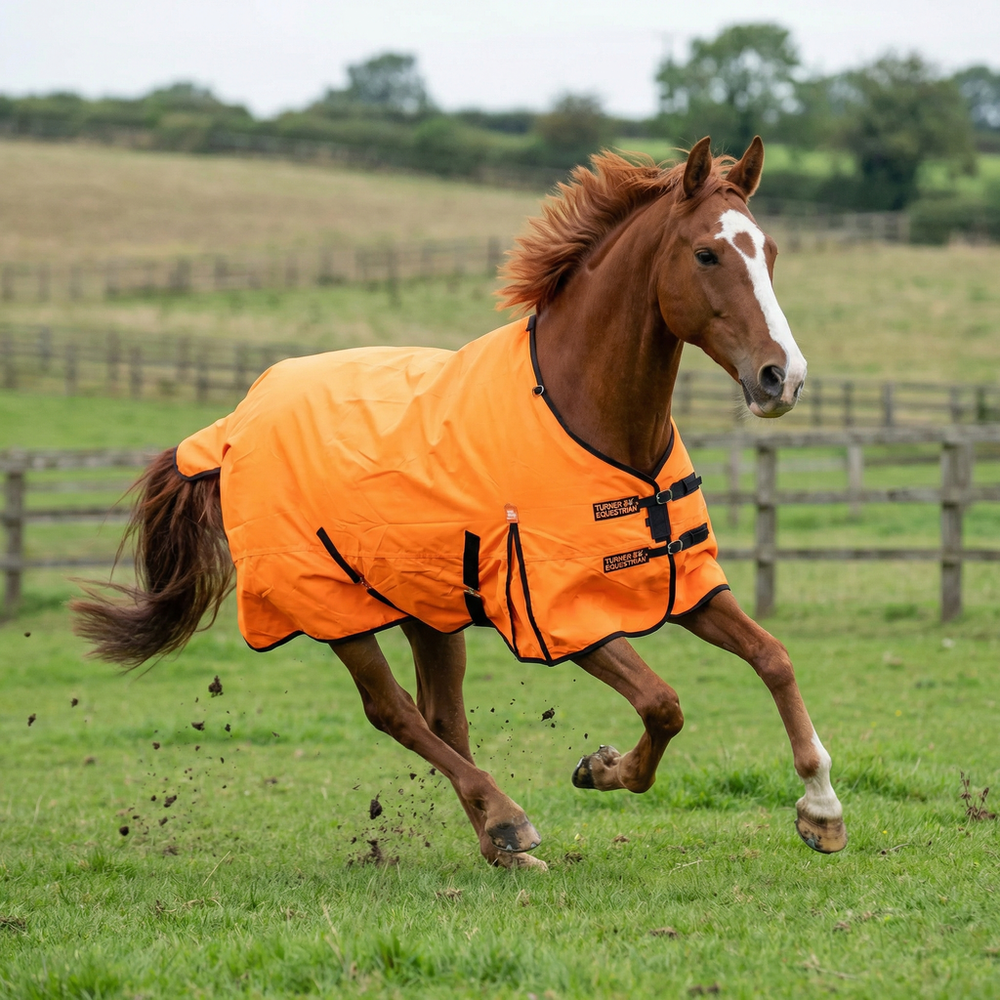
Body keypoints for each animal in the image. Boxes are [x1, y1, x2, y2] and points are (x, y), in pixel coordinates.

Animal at [73, 136, 847, 870]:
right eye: (707, 253)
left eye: (769, 250)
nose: (782, 378)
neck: (584, 414)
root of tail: (230, 426)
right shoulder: (560, 615)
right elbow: (664, 703)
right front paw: (603, 769)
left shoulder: (681, 581)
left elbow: (773, 658)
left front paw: (821, 810)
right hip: (336, 611)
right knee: (394, 712)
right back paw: (508, 820)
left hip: (429, 607)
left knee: (443, 717)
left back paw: (501, 845)